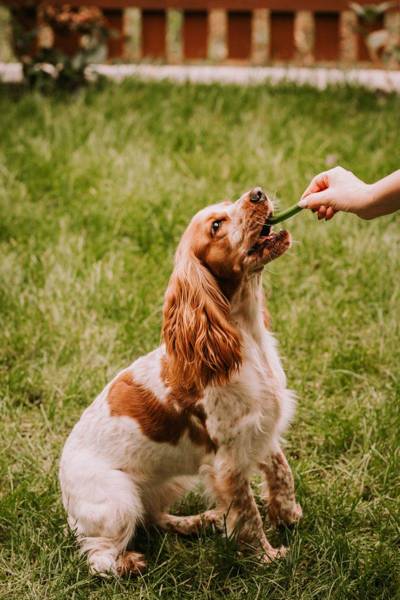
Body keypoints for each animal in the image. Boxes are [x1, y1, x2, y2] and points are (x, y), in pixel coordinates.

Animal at [59, 188, 302, 576]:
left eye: (230, 203)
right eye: (216, 225)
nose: (257, 193)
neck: (246, 335)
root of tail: (62, 482)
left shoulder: (260, 428)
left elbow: (281, 470)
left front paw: (288, 514)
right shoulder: (228, 462)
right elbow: (248, 515)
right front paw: (267, 557)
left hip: (171, 480)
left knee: (154, 517)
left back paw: (199, 521)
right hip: (118, 500)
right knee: (99, 558)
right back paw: (131, 563)